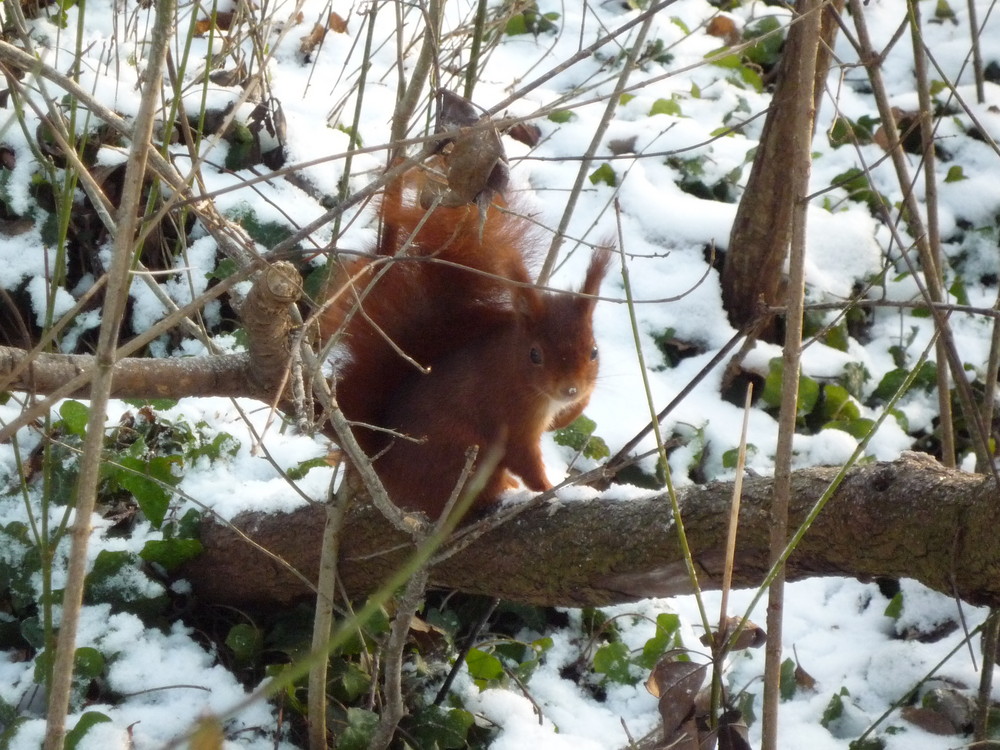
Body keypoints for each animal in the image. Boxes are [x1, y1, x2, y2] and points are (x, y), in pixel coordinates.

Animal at [320, 172, 608, 516]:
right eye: (535, 355)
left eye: (594, 351)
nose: (570, 389)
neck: (518, 374)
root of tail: (386, 472)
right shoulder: (508, 414)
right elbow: (523, 458)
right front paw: (549, 491)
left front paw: (574, 410)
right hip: (464, 457)